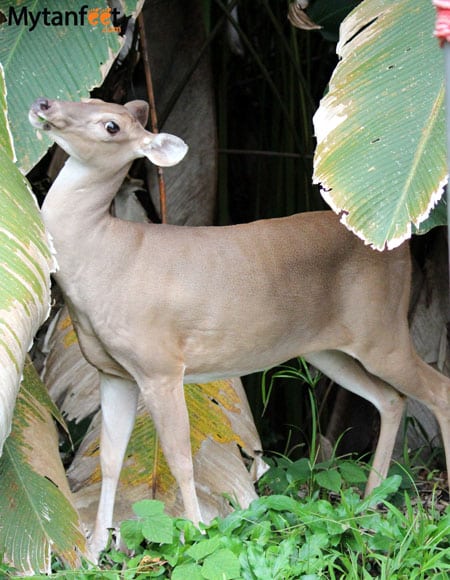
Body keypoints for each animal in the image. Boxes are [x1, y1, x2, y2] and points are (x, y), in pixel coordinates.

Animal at [29, 97, 450, 556]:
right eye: (86, 99)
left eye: (111, 126)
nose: (45, 103)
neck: (103, 258)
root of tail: (399, 246)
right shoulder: (112, 371)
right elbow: (109, 459)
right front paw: (94, 550)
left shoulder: (160, 364)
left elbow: (180, 459)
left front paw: (196, 533)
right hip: (326, 348)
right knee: (391, 399)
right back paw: (371, 498)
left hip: (383, 329)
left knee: (438, 389)